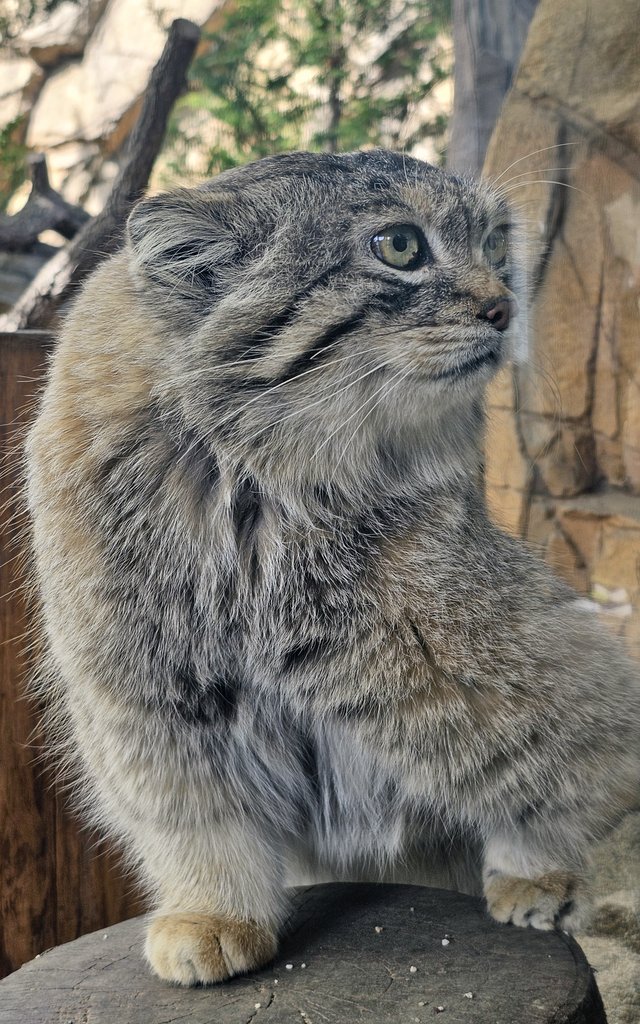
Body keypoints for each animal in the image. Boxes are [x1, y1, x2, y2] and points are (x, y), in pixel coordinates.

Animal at [26, 149, 638, 983]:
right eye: (400, 246)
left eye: (492, 242)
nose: (505, 307)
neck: (257, 487)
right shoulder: (144, 691)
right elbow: (197, 819)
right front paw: (212, 911)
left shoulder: (519, 653)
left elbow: (553, 767)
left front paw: (539, 871)